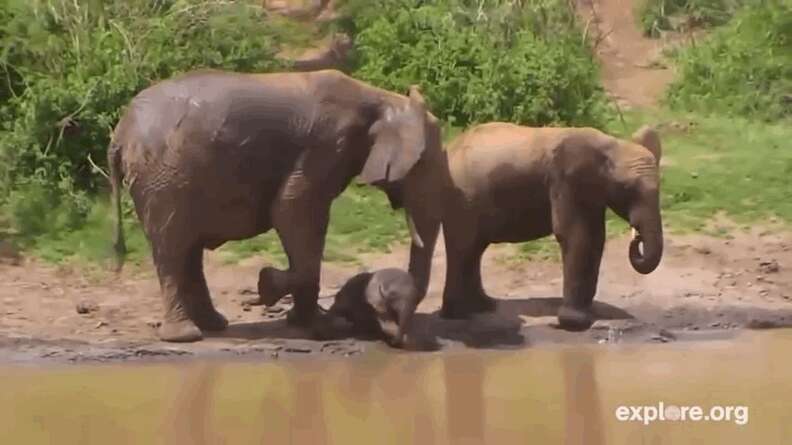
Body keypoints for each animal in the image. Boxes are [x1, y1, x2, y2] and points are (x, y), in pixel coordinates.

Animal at [106, 69, 440, 342]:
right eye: (421, 164)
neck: (384, 98)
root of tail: (119, 132)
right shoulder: (326, 146)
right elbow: (293, 210)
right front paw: (271, 287)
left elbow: (298, 219)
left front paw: (305, 322)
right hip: (163, 178)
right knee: (173, 249)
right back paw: (186, 336)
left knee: (188, 251)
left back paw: (214, 325)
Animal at [406, 121, 664, 330]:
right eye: (628, 189)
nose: (636, 238)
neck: (611, 145)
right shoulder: (565, 181)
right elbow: (576, 236)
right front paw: (575, 323)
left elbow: (595, 237)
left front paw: (588, 315)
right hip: (461, 196)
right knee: (464, 247)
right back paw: (459, 315)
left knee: (474, 249)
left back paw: (483, 306)